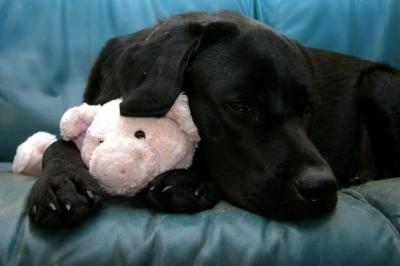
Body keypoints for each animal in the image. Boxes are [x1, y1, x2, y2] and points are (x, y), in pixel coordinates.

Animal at [27, 11, 400, 228]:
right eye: (241, 106)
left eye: (309, 109)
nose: (322, 187)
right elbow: (59, 144)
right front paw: (63, 181)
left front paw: (188, 181)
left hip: (379, 81)